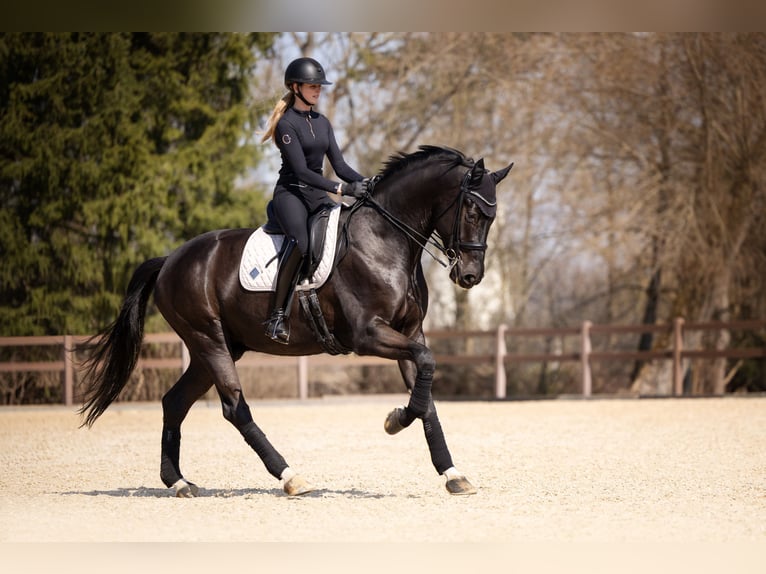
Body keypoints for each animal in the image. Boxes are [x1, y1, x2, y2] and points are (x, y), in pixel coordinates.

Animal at [79, 145, 513, 497]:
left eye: (491, 217)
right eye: (472, 211)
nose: (470, 276)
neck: (385, 240)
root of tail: (170, 259)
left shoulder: (410, 333)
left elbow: (427, 393)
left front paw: (452, 473)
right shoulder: (369, 336)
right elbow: (426, 368)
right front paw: (394, 421)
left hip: (215, 348)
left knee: (175, 401)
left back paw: (179, 482)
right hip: (208, 340)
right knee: (234, 408)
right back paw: (290, 477)